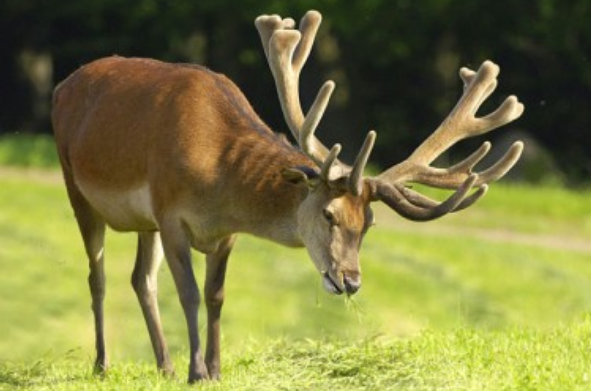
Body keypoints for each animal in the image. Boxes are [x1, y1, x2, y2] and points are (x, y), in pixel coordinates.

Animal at [49, 8, 524, 382]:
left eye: (368, 223)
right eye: (329, 214)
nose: (351, 280)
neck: (216, 175)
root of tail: (61, 86)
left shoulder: (224, 231)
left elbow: (216, 295)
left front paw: (215, 370)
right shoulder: (170, 213)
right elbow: (187, 292)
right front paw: (196, 371)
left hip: (142, 222)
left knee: (140, 278)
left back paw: (163, 365)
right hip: (77, 186)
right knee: (98, 275)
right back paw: (102, 364)